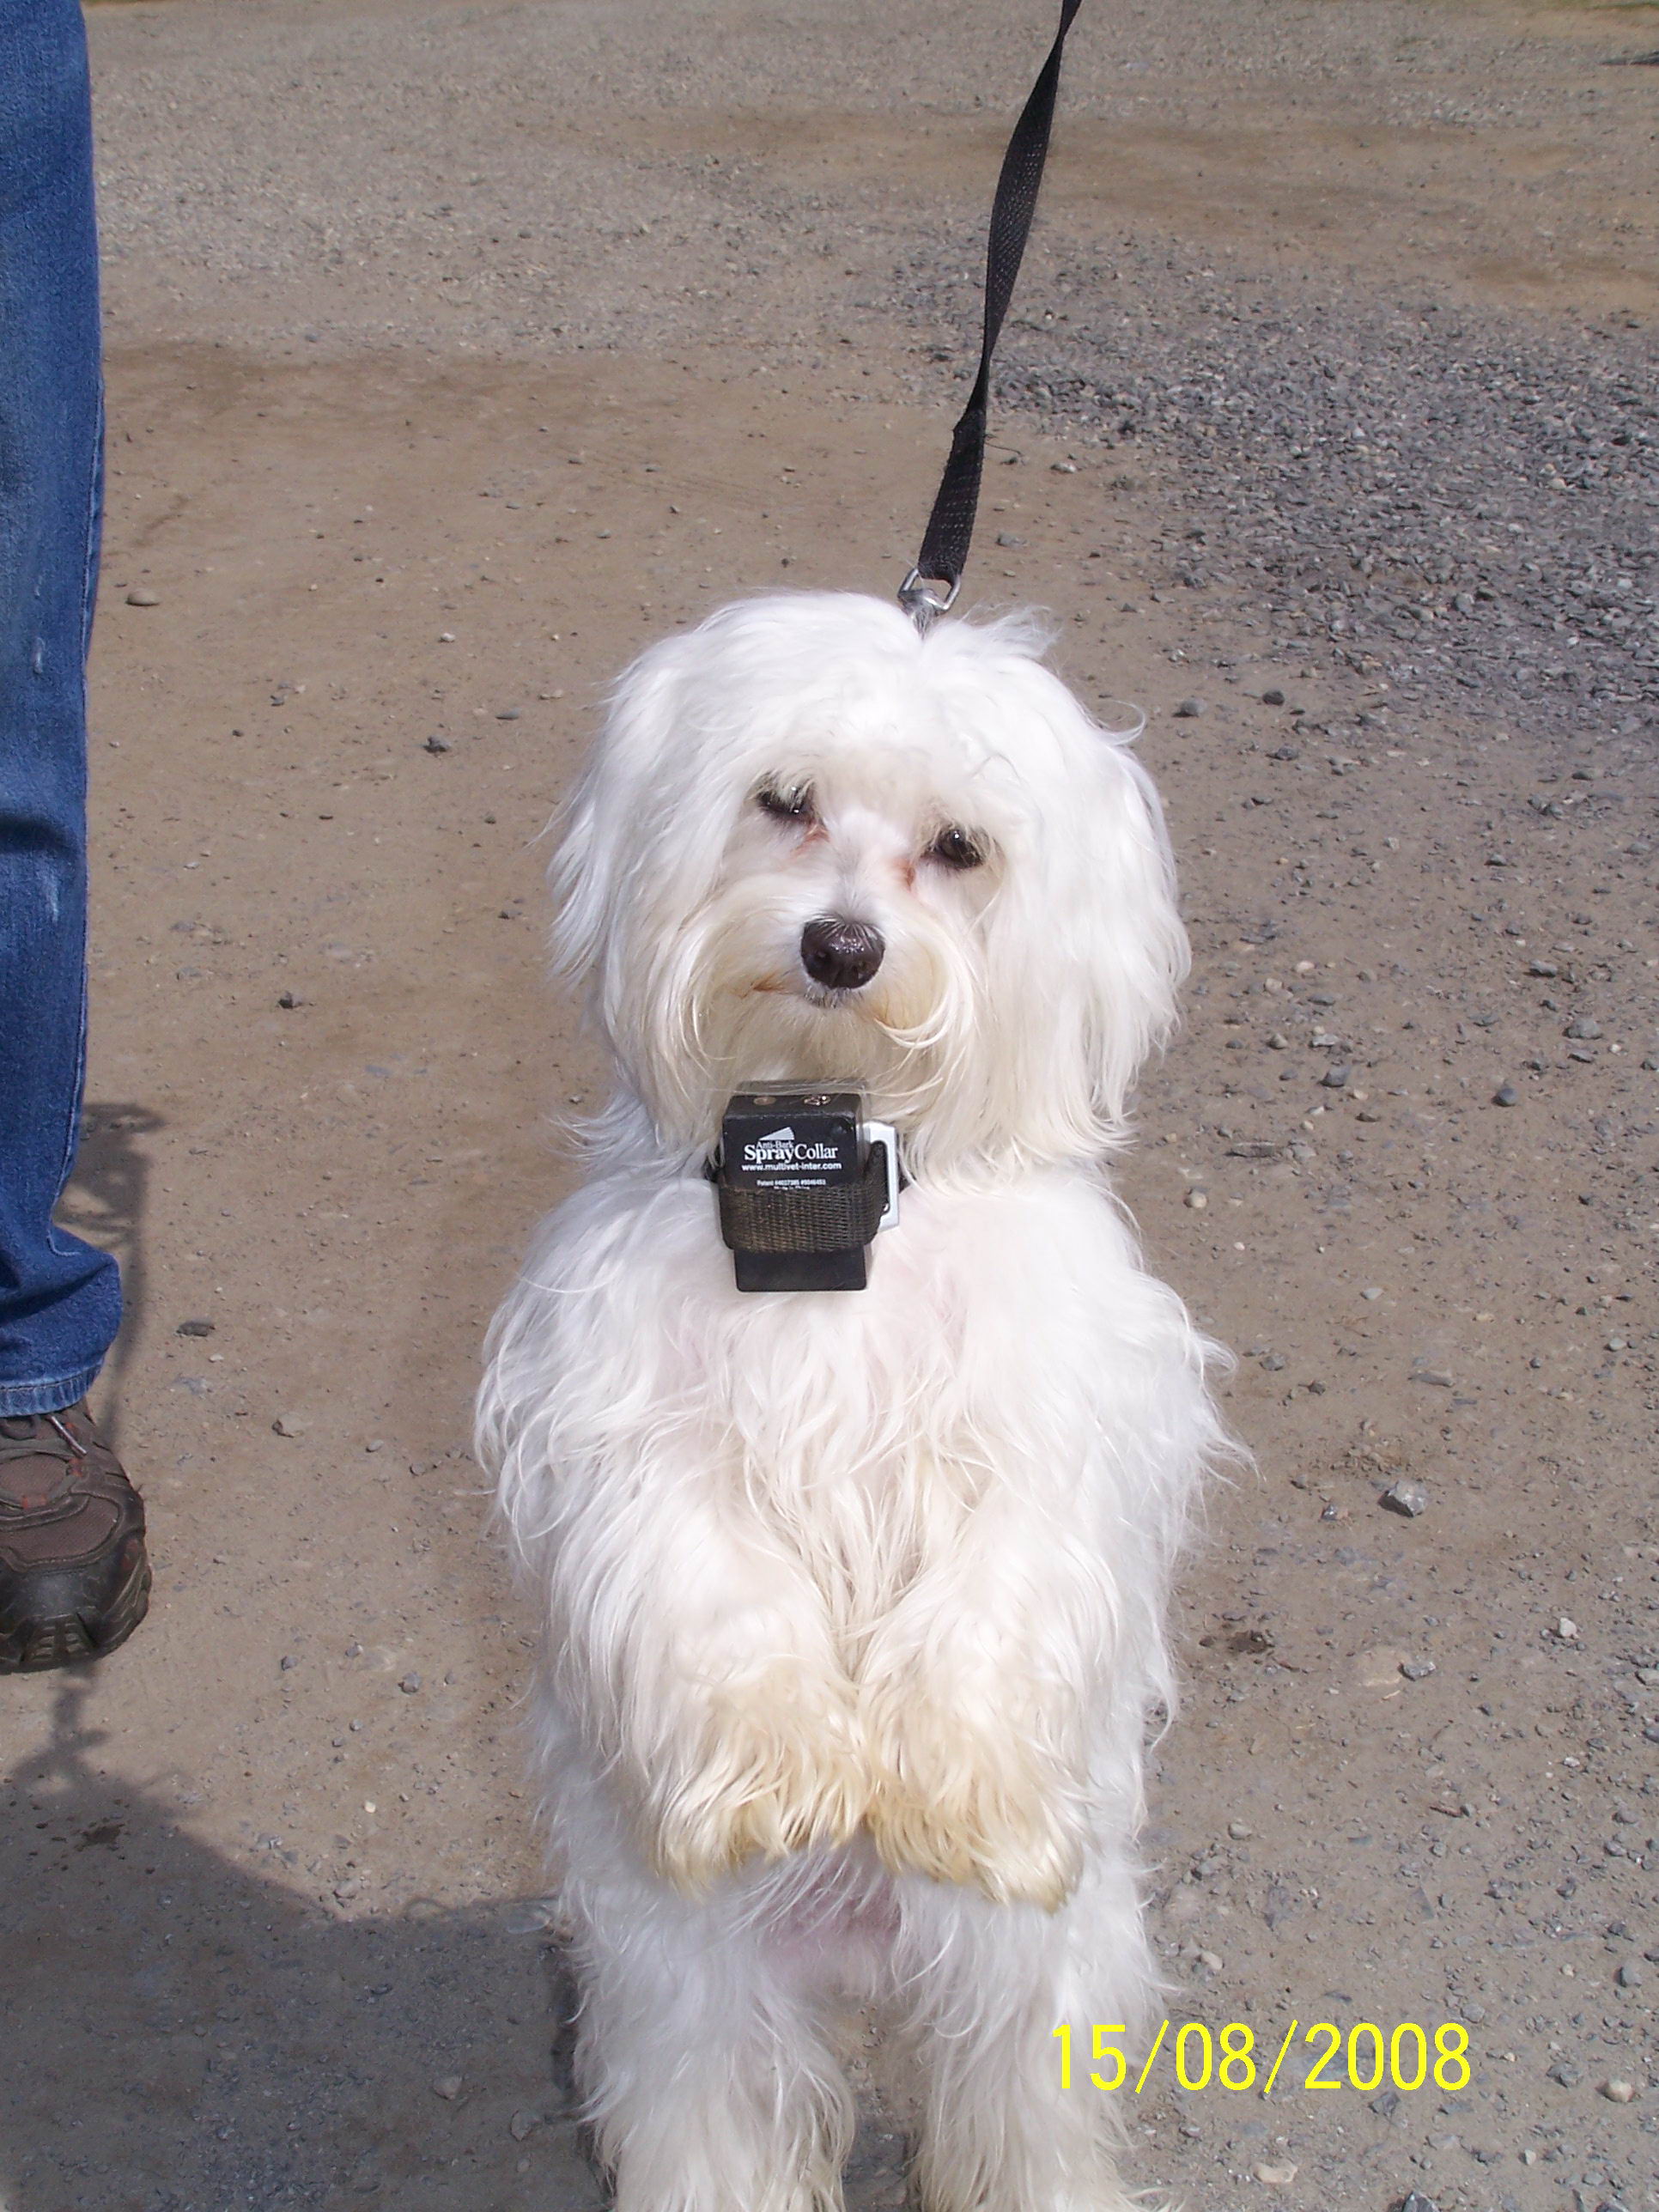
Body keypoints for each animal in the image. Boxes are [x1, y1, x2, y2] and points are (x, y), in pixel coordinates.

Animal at [477, 591, 1228, 2212]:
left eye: (959, 846)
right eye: (784, 800)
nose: (839, 944)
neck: (825, 1171)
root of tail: (869, 1954)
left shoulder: (1049, 1439)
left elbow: (987, 1614)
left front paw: (953, 1794)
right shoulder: (630, 1430)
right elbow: (720, 1598)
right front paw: (783, 1778)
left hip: (1030, 1994)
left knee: (1023, 2123)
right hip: (691, 2001)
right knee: (716, 2130)